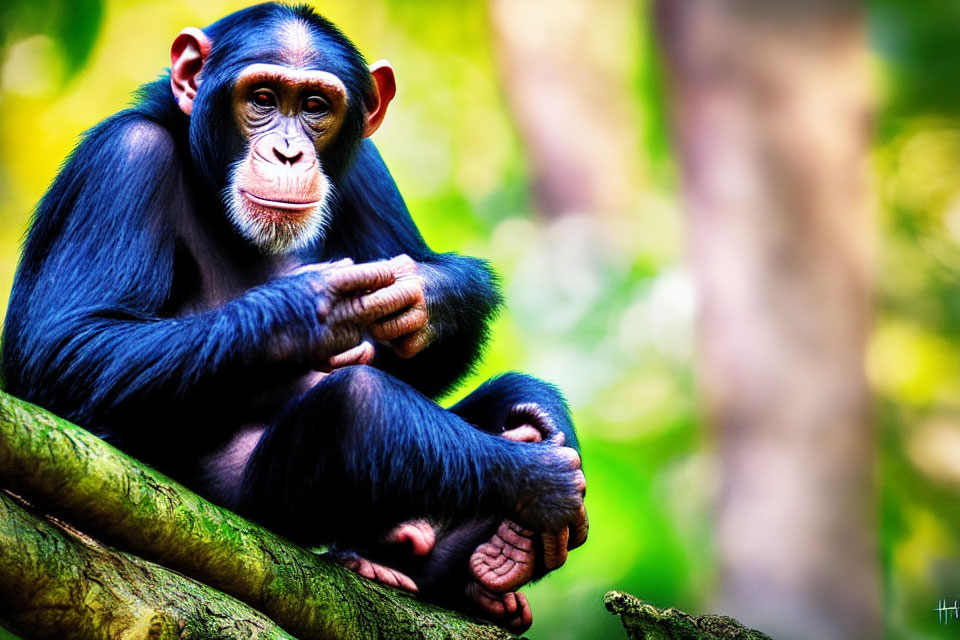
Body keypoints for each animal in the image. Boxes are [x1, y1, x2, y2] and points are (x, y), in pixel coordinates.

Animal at [1, 1, 584, 632]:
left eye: (314, 107)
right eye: (261, 98)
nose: (288, 152)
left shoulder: (366, 164)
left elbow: (420, 315)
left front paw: (420, 296)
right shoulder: (123, 159)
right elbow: (67, 344)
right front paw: (310, 309)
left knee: (516, 392)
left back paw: (494, 545)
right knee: (359, 407)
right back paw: (530, 486)